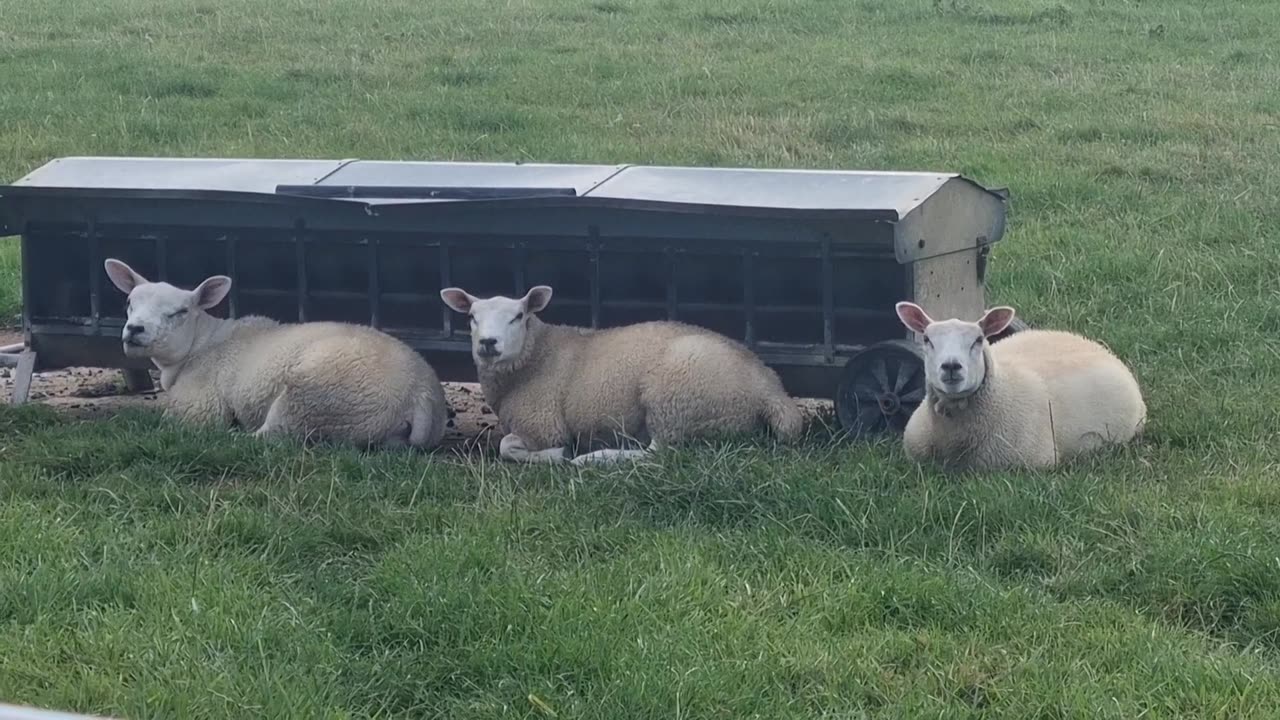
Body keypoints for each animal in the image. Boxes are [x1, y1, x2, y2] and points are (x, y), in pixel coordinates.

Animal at [101, 257, 450, 445]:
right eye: (129, 302)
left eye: (180, 312)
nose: (135, 329)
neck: (200, 346)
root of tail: (420, 393)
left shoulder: (198, 407)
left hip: (315, 397)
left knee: (274, 436)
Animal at [440, 283, 798, 461]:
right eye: (471, 316)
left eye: (518, 316)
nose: (488, 343)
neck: (536, 356)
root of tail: (772, 392)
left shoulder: (543, 426)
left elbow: (509, 447)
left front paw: (560, 454)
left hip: (675, 398)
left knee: (658, 454)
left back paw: (593, 458)